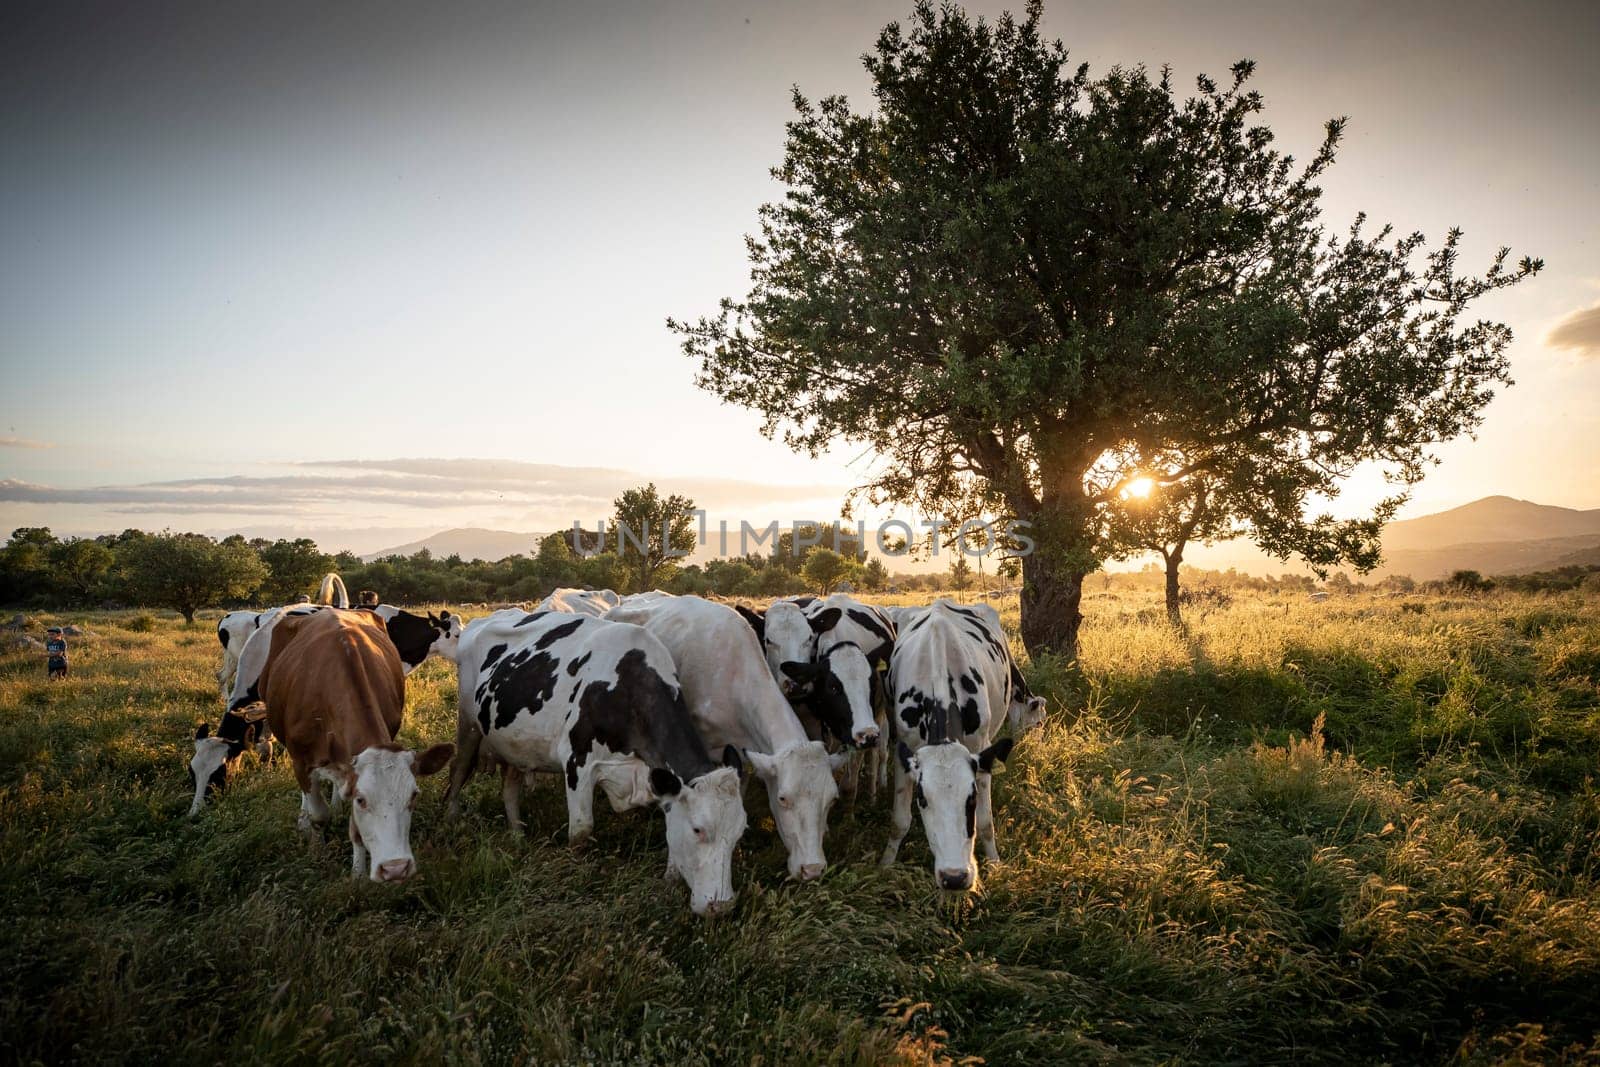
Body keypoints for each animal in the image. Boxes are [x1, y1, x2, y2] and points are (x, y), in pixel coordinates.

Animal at [259, 604, 454, 883]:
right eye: (362, 800)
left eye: (414, 795)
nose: (395, 868)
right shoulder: (302, 759)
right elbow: (319, 814)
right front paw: (316, 850)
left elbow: (356, 829)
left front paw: (358, 874)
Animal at [448, 607, 745, 921]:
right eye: (699, 830)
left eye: (739, 833)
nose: (722, 906)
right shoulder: (577, 762)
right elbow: (581, 831)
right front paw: (576, 876)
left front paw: (670, 879)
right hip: (468, 723)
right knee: (459, 768)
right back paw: (452, 819)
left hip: (514, 742)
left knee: (510, 786)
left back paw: (517, 833)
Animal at [601, 598, 851, 883]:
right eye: (783, 799)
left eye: (831, 800)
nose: (812, 869)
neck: (732, 677)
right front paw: (673, 868)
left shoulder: (741, 754)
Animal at [883, 601, 1043, 895]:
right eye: (922, 798)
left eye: (971, 798)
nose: (954, 877)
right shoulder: (905, 750)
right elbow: (899, 820)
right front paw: (885, 863)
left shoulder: (982, 749)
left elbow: (986, 822)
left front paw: (995, 863)